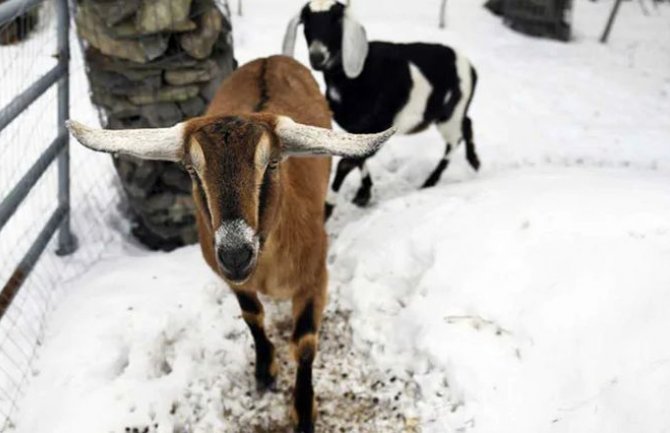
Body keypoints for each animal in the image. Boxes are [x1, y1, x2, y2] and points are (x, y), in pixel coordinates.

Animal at [67, 54, 394, 432]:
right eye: (191, 170)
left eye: (272, 163)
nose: (236, 254)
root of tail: (270, 58)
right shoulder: (232, 280)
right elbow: (252, 316)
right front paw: (264, 372)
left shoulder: (315, 278)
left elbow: (304, 343)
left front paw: (303, 412)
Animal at [284, 0, 484, 216]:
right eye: (305, 20)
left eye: (337, 20)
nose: (317, 56)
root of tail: (470, 67)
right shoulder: (359, 130)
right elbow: (358, 155)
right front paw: (363, 193)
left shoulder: (379, 125)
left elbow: (346, 163)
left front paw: (329, 207)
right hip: (452, 112)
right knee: (467, 123)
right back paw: (474, 161)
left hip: (451, 115)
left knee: (454, 141)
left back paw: (430, 181)